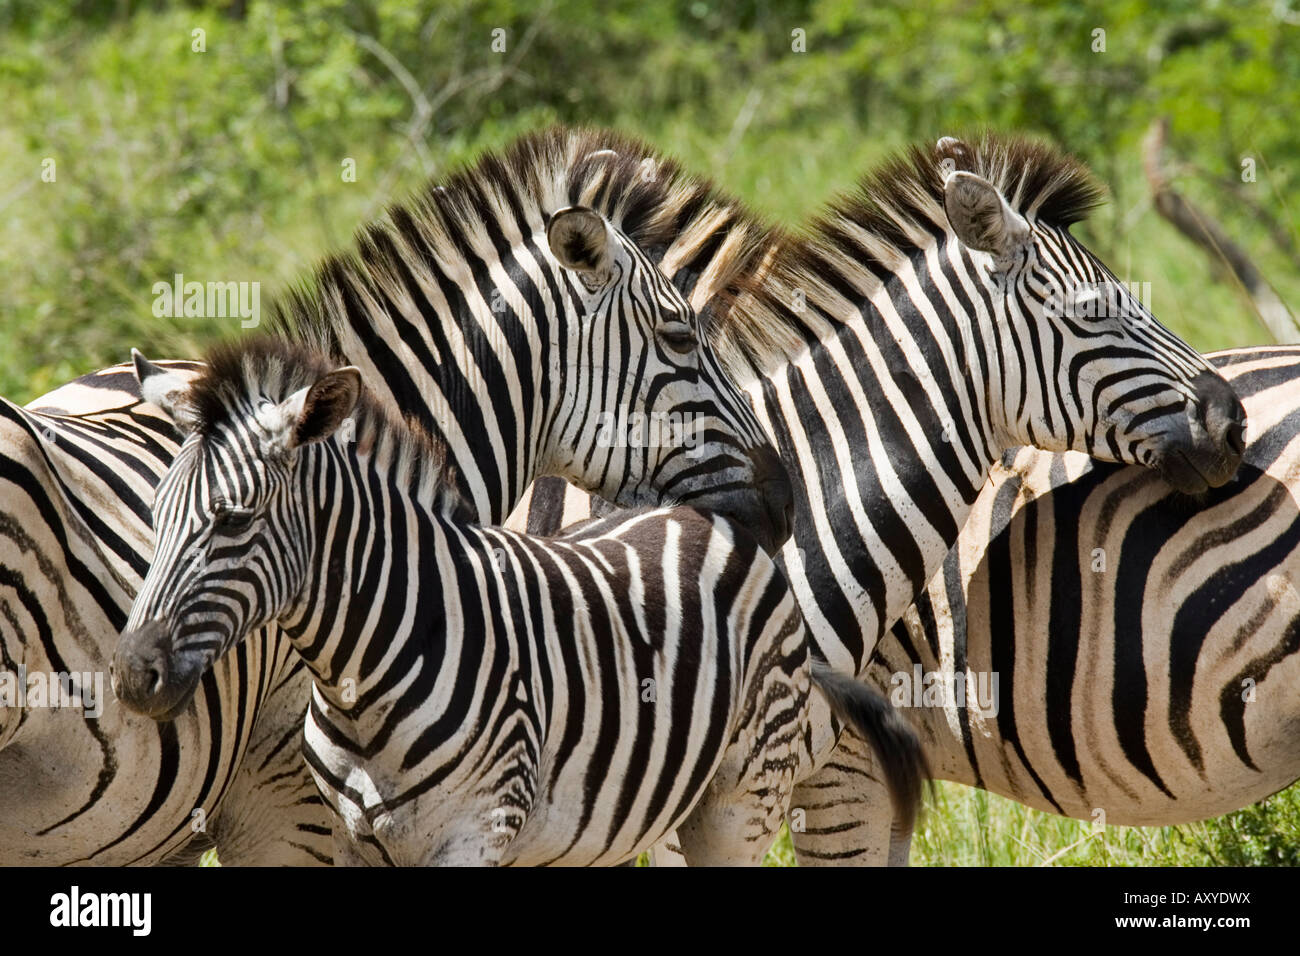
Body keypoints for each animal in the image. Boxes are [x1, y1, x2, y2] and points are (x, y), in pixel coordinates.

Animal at [111, 343, 925, 868]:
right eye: (155, 514)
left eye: (234, 521)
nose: (130, 676)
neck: (363, 672)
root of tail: (706, 514)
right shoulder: (354, 842)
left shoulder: (475, 834)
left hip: (741, 798)